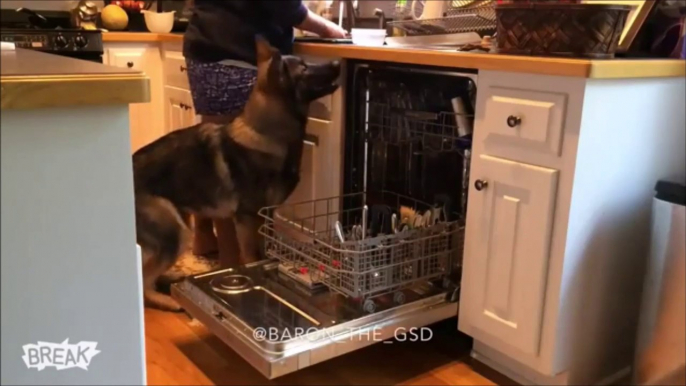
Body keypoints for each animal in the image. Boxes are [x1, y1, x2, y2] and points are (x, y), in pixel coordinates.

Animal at [132, 37, 342, 312]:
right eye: (305, 67)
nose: (338, 61)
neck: (265, 134)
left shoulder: (264, 217)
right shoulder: (247, 219)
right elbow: (253, 257)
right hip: (176, 233)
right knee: (144, 278)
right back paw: (166, 300)